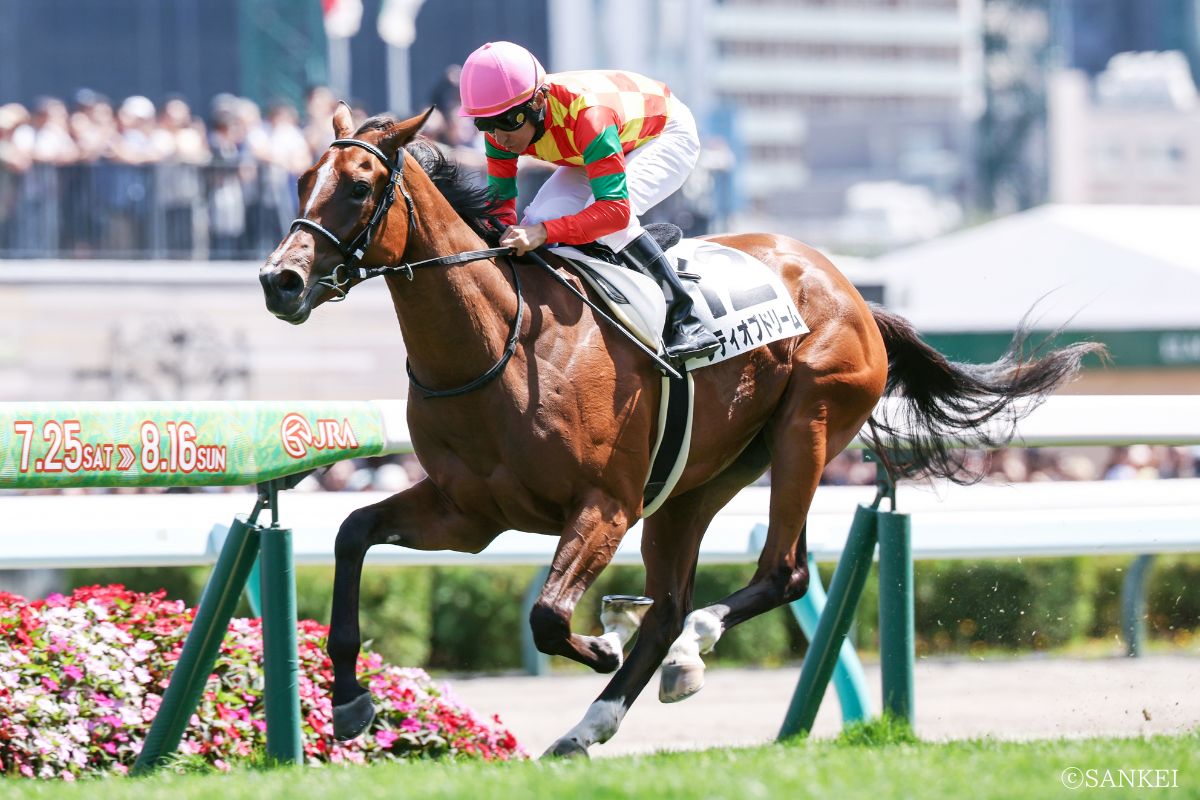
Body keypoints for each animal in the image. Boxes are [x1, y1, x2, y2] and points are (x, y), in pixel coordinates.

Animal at [259, 104, 1102, 757]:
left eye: (360, 186)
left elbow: (546, 615)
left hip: (805, 428)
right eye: (301, 182)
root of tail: (851, 288)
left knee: (778, 575)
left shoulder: (604, 504)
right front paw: (349, 701)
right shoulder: (468, 514)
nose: (280, 281)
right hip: (698, 479)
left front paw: (600, 642)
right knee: (668, 605)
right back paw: (592, 722)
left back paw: (683, 655)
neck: (500, 340)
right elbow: (351, 535)